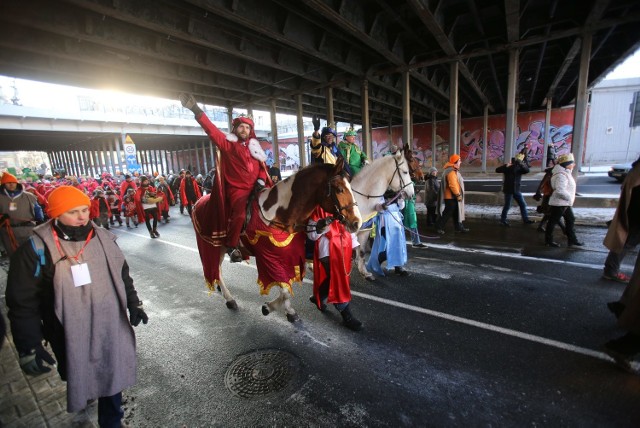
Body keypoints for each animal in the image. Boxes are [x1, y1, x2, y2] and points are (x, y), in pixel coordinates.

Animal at [191, 159, 360, 322]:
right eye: (339, 189)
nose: (357, 222)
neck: (278, 213)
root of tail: (197, 203)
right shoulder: (268, 257)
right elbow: (284, 289)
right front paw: (277, 309)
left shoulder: (287, 254)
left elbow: (286, 285)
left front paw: (279, 308)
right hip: (212, 246)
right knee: (216, 270)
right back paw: (229, 298)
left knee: (217, 270)